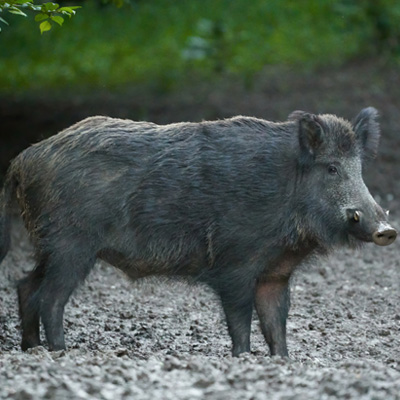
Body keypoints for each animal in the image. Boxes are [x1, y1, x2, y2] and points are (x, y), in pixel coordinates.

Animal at [0, 108, 396, 356]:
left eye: (358, 168)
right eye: (331, 168)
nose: (388, 230)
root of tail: (23, 159)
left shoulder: (275, 274)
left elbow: (276, 322)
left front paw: (283, 360)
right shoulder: (235, 263)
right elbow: (240, 319)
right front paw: (243, 357)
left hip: (49, 245)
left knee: (25, 286)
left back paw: (32, 348)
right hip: (72, 245)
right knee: (50, 297)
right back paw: (61, 350)